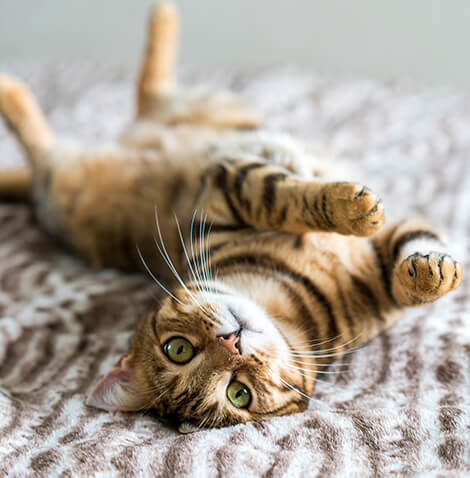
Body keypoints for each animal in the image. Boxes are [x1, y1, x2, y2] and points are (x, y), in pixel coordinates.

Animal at [0, 1, 462, 434]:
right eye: (238, 393)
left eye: (177, 349)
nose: (232, 343)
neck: (286, 303)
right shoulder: (225, 186)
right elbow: (281, 196)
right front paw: (354, 209)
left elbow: (410, 264)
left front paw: (428, 271)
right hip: (63, 187)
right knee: (45, 149)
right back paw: (12, 90)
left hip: (205, 107)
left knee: (150, 90)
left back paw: (159, 17)